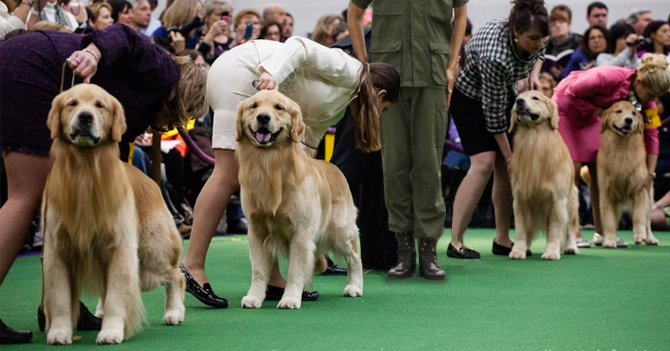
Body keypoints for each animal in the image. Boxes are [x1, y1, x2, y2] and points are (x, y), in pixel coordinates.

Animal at [42, 84, 185, 344]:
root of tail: (151, 181)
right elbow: (59, 298)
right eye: (72, 103)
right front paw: (59, 332)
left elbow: (117, 298)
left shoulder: (120, 247)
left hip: (152, 250)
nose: (85, 117)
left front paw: (111, 331)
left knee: (176, 275)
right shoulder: (56, 249)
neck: (85, 171)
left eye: (100, 105)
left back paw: (174, 312)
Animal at [236, 89, 362, 310]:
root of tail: (335, 168)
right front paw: (254, 296)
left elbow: (295, 270)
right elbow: (259, 270)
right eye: (254, 106)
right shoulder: (256, 232)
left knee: (355, 256)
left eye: (279, 107)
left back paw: (354, 286)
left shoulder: (300, 233)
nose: (263, 117)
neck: (269, 165)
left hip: (339, 231)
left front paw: (290, 298)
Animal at [512, 91, 580, 262]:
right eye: (518, 97)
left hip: (571, 203)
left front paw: (551, 252)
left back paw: (571, 247)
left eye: (535, 98)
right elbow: (521, 229)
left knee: (570, 228)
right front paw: (518, 250)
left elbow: (555, 229)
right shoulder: (520, 198)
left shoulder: (557, 200)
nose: (519, 101)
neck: (534, 136)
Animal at [600, 100, 660, 246]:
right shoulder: (606, 193)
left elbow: (638, 216)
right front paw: (609, 240)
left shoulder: (639, 189)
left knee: (647, 221)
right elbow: (609, 220)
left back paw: (650, 238)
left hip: (649, 196)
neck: (622, 149)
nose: (629, 120)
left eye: (633, 113)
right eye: (618, 111)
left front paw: (639, 235)